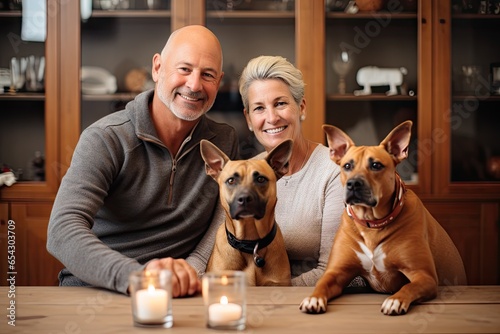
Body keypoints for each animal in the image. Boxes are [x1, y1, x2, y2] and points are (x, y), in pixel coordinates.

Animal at [300, 121, 468, 314]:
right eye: (347, 166)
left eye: (376, 165)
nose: (353, 184)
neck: (371, 224)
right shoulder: (336, 272)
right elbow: (322, 283)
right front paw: (314, 298)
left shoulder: (424, 276)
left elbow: (408, 286)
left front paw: (395, 300)